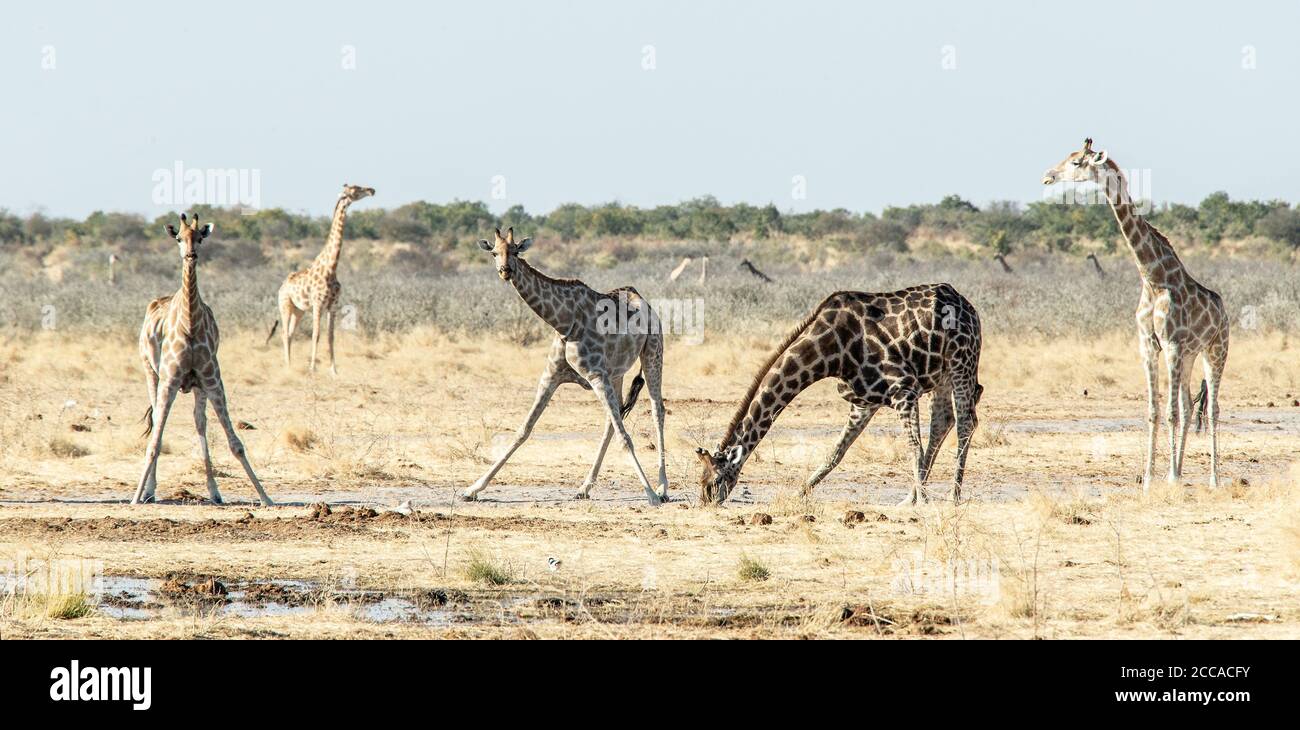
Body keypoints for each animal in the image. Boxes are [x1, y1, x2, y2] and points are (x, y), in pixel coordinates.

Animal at [133, 211, 273, 506]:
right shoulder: (169, 381)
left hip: (198, 386)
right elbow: (155, 443)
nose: (190, 255)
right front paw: (136, 497)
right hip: (151, 373)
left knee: (200, 423)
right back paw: (149, 492)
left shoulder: (213, 380)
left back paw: (214, 492)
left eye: (199, 237)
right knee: (158, 425)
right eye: (178, 238)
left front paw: (265, 497)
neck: (190, 325)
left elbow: (236, 444)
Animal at [265, 181, 377, 374]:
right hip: (285, 306)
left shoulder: (333, 306)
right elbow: (315, 334)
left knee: (290, 333)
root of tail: (282, 286)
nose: (372, 190)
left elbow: (331, 337)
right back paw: (287, 366)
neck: (331, 268)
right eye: (355, 189)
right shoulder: (318, 304)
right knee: (284, 333)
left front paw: (334, 370)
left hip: (299, 310)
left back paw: (291, 365)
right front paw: (312, 369)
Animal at [462, 227, 670, 506]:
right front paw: (474, 488)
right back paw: (584, 487)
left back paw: (662, 488)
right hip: (616, 373)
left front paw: (650, 494)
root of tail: (643, 301)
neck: (563, 321)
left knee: (657, 410)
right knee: (612, 418)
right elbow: (523, 429)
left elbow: (625, 438)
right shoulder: (551, 376)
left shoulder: (596, 375)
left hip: (653, 353)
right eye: (494, 252)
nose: (505, 271)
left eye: (516, 251)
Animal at [696, 281, 977, 503]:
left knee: (966, 422)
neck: (831, 350)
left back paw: (952, 496)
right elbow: (835, 453)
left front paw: (924, 502)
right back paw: (912, 497)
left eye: (715, 480)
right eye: (701, 479)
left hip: (961, 362)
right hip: (941, 376)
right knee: (944, 420)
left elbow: (914, 447)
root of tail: (967, 305)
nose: (706, 501)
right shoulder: (864, 402)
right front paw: (798, 494)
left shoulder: (904, 388)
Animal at [1040, 136, 1232, 488]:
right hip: (1189, 356)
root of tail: (1224, 310)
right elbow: (1155, 411)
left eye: (1076, 162)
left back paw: (1212, 478)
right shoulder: (1148, 345)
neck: (1152, 278)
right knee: (1188, 407)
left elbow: (1169, 412)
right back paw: (1181, 469)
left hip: (1216, 350)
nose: (1047, 176)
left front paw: (1169, 476)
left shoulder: (1171, 344)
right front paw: (1150, 477)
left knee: (1212, 409)